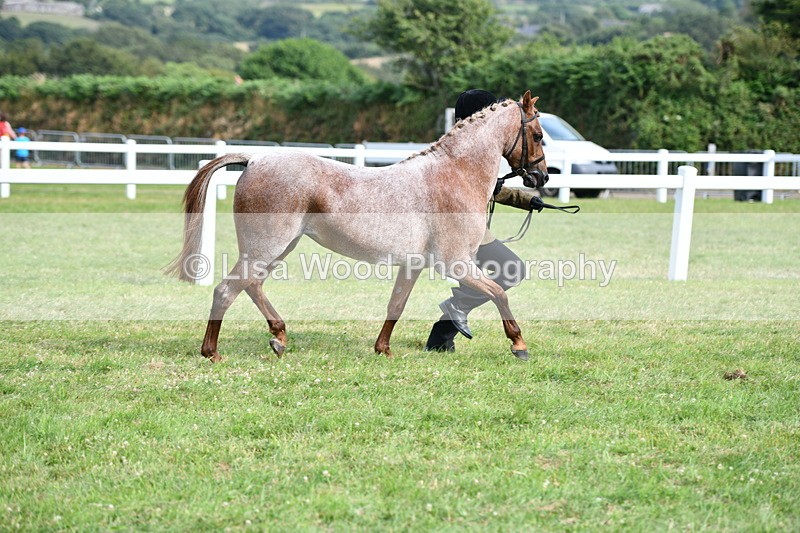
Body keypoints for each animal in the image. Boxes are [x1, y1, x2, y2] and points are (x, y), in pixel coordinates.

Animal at [167, 90, 549, 362]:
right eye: (538, 134)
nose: (542, 177)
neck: (453, 175)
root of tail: (256, 158)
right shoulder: (455, 262)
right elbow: (498, 292)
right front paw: (519, 344)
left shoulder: (413, 265)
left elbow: (396, 305)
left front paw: (384, 349)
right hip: (267, 247)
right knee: (226, 290)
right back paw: (213, 353)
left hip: (279, 247)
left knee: (251, 285)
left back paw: (279, 338)